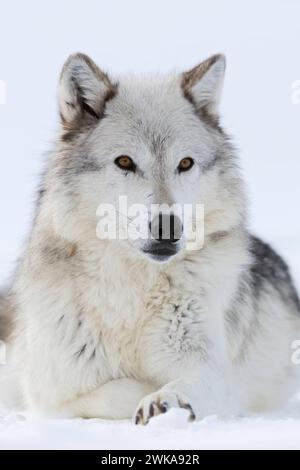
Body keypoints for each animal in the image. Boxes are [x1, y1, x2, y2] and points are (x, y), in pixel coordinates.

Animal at [0, 51, 298, 422]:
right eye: (125, 161)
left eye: (185, 163)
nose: (168, 227)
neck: (134, 293)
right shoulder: (51, 393)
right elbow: (115, 391)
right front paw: (149, 391)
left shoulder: (210, 368)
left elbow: (194, 384)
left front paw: (167, 399)